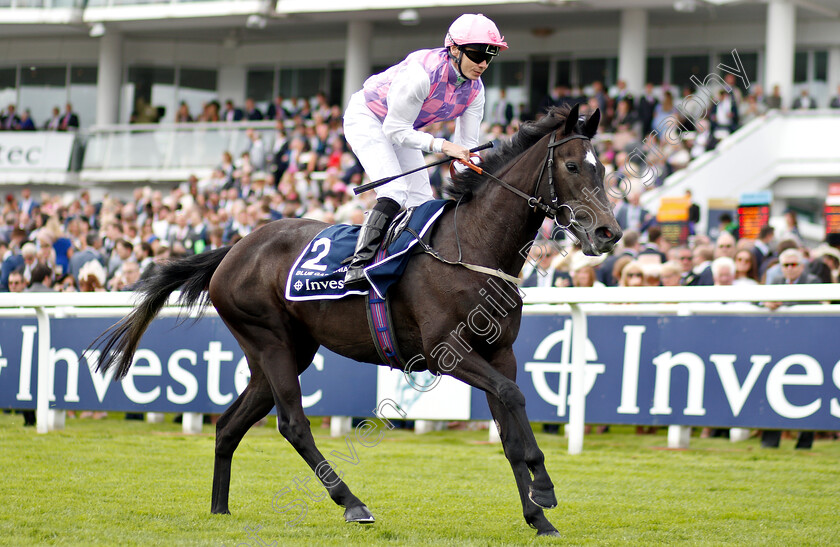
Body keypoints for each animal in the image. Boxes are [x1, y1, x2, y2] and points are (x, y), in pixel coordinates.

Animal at [97, 104, 624, 540]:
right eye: (572, 166)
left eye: (603, 167)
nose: (608, 232)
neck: (471, 247)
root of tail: (235, 248)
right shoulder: (448, 352)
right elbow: (514, 400)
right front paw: (545, 488)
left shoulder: (500, 352)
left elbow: (511, 428)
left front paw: (538, 515)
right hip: (269, 341)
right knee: (293, 424)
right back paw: (352, 503)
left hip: (284, 351)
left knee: (229, 425)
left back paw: (219, 509)